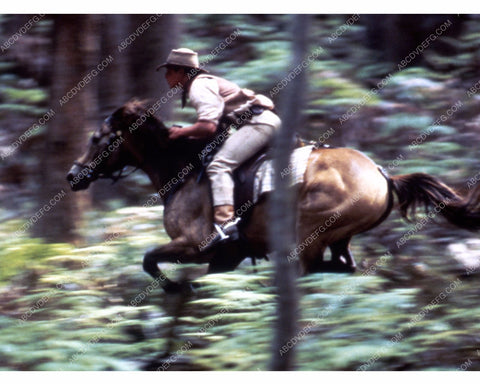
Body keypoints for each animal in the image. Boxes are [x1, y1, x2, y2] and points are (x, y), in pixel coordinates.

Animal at [68, 100, 480, 292]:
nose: (73, 176)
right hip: (337, 237)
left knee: (311, 268)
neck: (182, 169)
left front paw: (176, 287)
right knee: (342, 266)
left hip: (310, 232)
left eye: (97, 138)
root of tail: (382, 175)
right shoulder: (227, 256)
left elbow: (149, 261)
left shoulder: (195, 245)